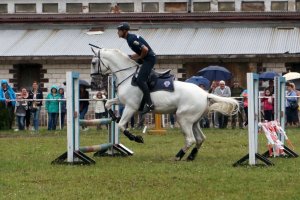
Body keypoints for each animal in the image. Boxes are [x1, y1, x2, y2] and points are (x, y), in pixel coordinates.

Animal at [90, 48, 238, 161]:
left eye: (93, 62)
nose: (93, 83)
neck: (128, 77)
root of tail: (205, 94)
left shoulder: (131, 107)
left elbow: (121, 126)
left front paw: (136, 138)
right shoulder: (123, 101)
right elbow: (108, 104)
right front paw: (114, 117)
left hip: (183, 118)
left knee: (190, 139)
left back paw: (178, 156)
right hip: (194, 121)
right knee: (200, 139)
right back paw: (191, 156)